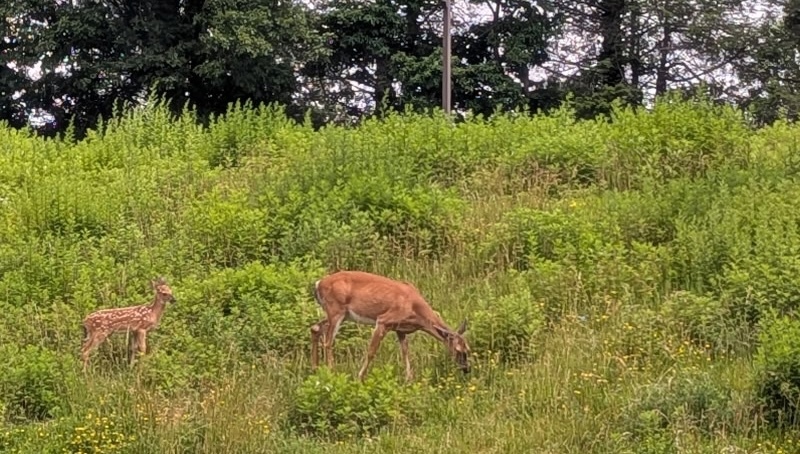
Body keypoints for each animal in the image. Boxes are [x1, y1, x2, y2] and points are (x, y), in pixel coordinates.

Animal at [310, 270, 470, 382]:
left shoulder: (400, 329)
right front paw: (360, 377)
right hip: (336, 310)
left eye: (468, 349)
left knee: (315, 328)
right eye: (458, 350)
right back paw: (331, 371)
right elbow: (371, 351)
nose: (466, 369)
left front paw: (408, 379)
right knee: (328, 342)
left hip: (339, 315)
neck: (415, 308)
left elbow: (405, 352)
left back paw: (315, 369)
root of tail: (318, 284)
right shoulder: (383, 321)